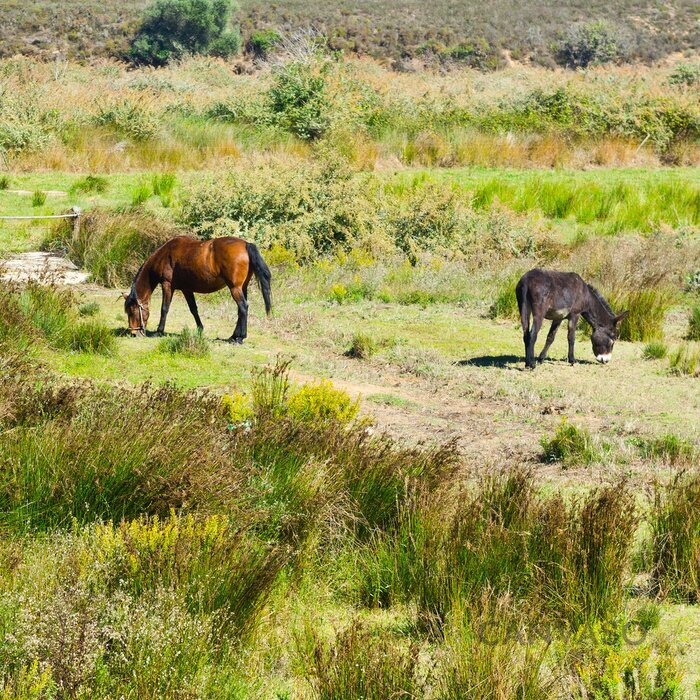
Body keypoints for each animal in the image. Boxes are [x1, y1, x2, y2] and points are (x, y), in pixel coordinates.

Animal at [123, 237, 270, 344]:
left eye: (132, 311)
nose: (133, 333)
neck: (164, 256)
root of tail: (246, 244)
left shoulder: (167, 285)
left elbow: (164, 309)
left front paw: (159, 331)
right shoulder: (186, 289)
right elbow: (194, 310)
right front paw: (200, 329)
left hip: (235, 288)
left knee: (243, 307)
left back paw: (240, 338)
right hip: (242, 287)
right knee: (241, 310)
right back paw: (233, 336)